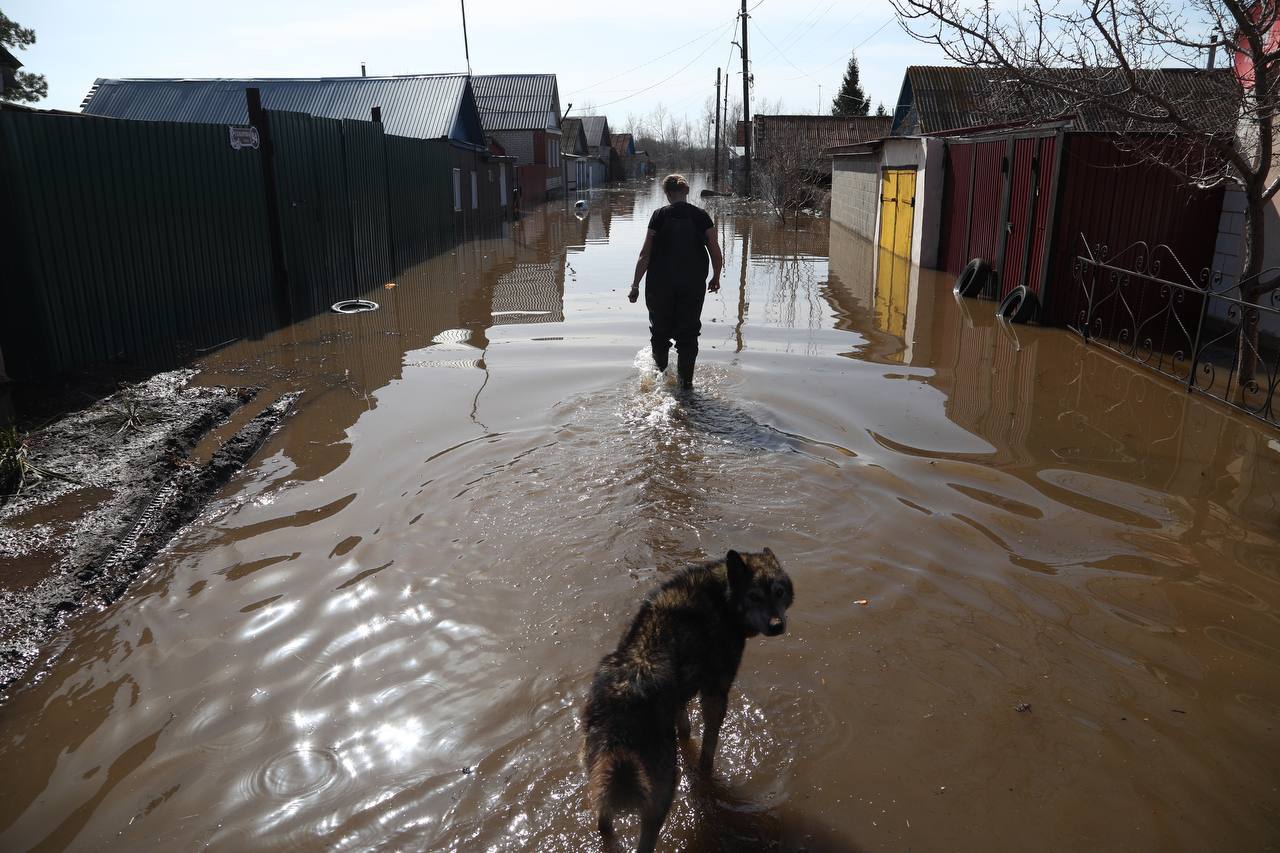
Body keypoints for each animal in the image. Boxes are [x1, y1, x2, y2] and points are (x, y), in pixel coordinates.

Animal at [586, 548, 793, 845]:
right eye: (754, 596)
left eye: (778, 592)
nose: (777, 625)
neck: (722, 597)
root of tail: (622, 695)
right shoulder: (715, 692)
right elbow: (710, 743)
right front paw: (706, 774)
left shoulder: (682, 694)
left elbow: (685, 727)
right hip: (659, 791)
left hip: (602, 777)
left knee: (603, 822)